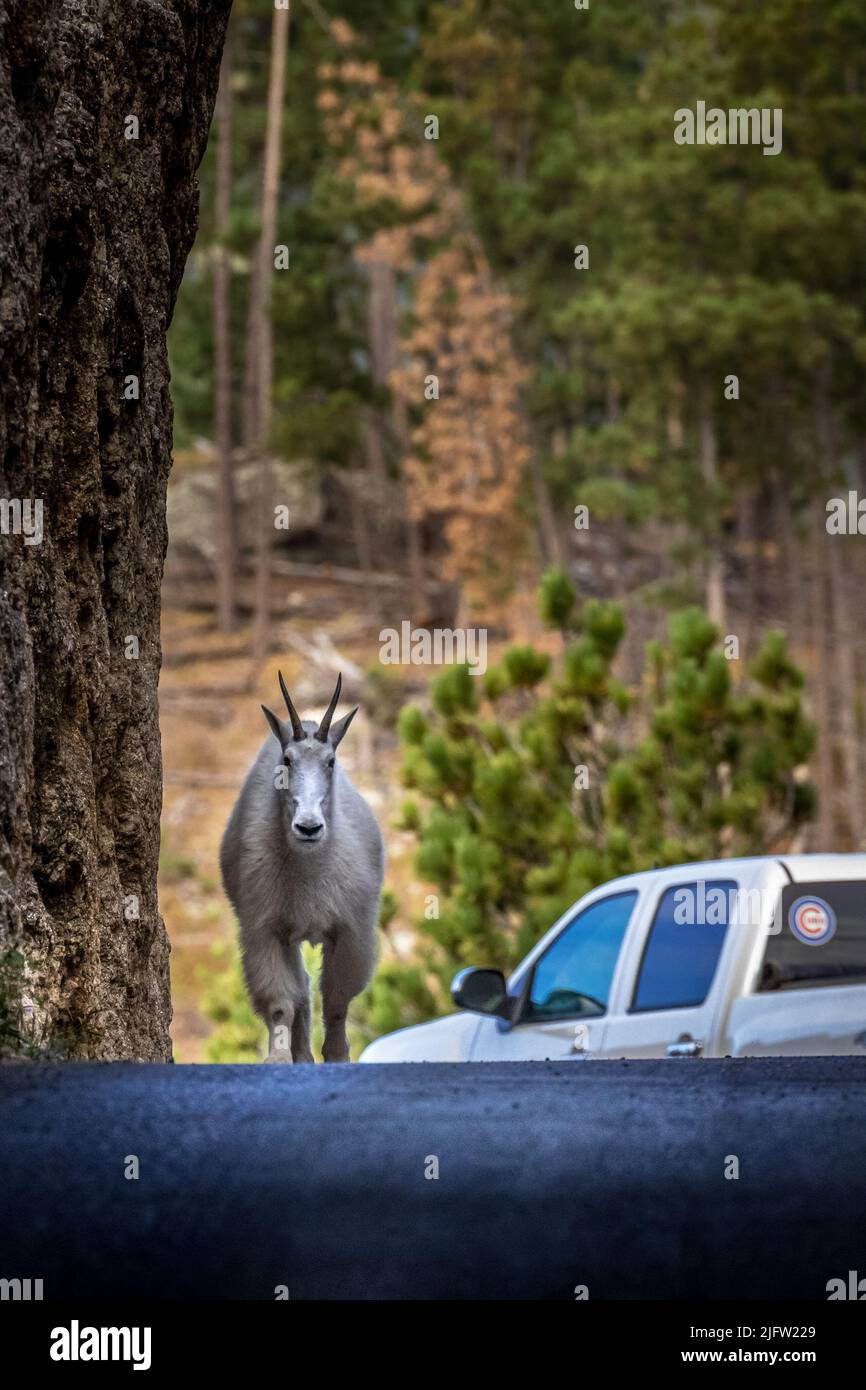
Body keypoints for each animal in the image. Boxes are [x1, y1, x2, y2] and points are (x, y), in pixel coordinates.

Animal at [220, 672, 384, 1062]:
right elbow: (281, 1002)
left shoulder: (350, 930)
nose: (308, 827)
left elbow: (338, 1001)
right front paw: (279, 1059)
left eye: (332, 761)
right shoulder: (266, 930)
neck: (309, 867)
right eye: (287, 759)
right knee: (300, 989)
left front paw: (338, 1055)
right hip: (289, 935)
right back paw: (302, 1056)